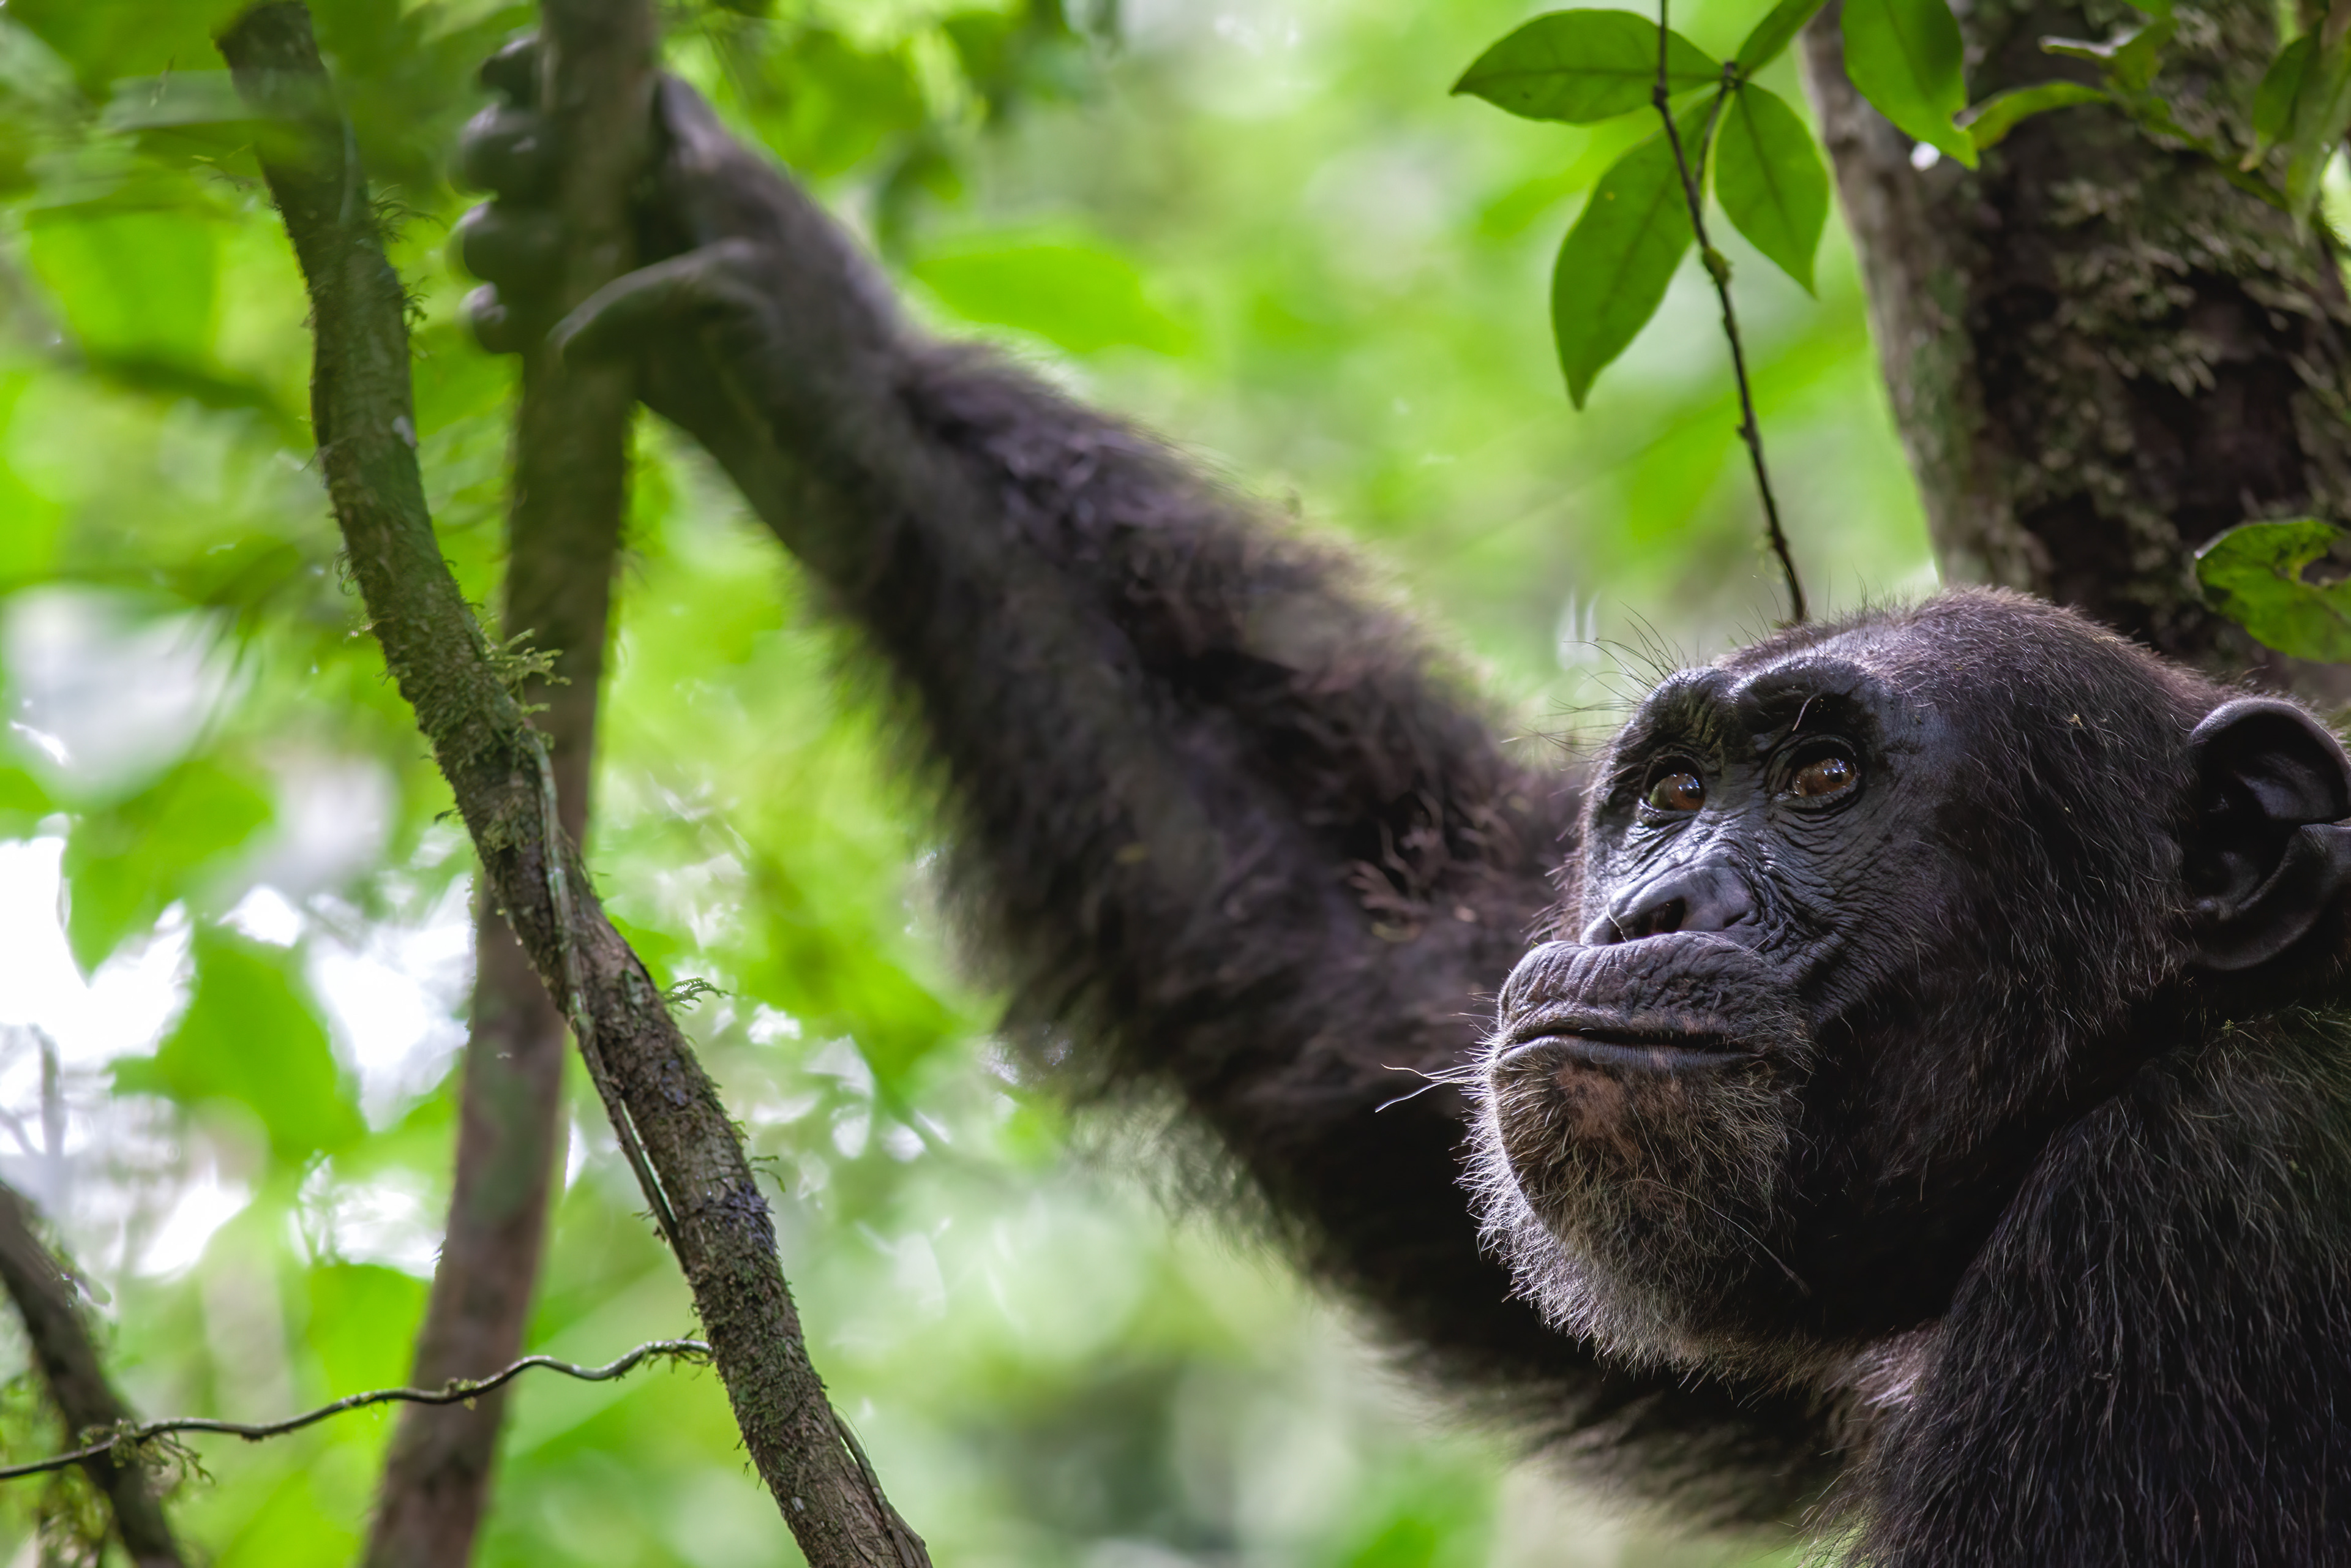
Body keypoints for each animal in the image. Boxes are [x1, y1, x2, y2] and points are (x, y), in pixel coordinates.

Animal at [455, 42, 2351, 1562]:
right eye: (1670, 793)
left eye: (1823, 778)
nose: (1652, 908)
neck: (2124, 1049)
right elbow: (1369, 1001)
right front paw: (795, 334)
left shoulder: (2189, 1221)